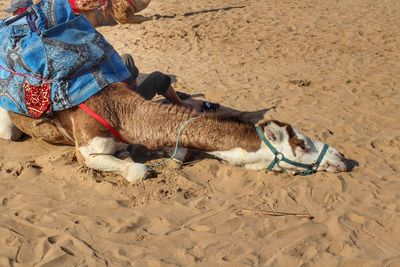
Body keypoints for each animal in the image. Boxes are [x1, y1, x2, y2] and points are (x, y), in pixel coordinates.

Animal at [0, 83, 348, 184]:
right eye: (301, 143)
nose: (342, 157)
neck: (124, 112)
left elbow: (176, 153)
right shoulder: (86, 150)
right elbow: (137, 170)